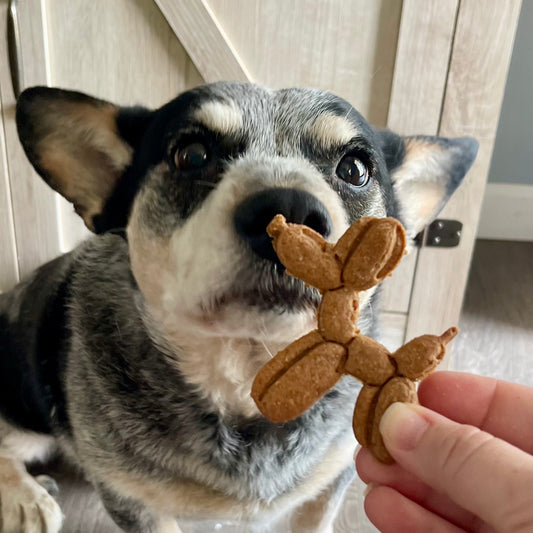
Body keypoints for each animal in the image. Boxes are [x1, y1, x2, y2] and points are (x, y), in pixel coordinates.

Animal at [0, 81, 478, 528]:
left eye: (355, 169)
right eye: (192, 156)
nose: (289, 210)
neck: (249, 382)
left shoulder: (335, 475)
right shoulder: (132, 501)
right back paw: (29, 498)